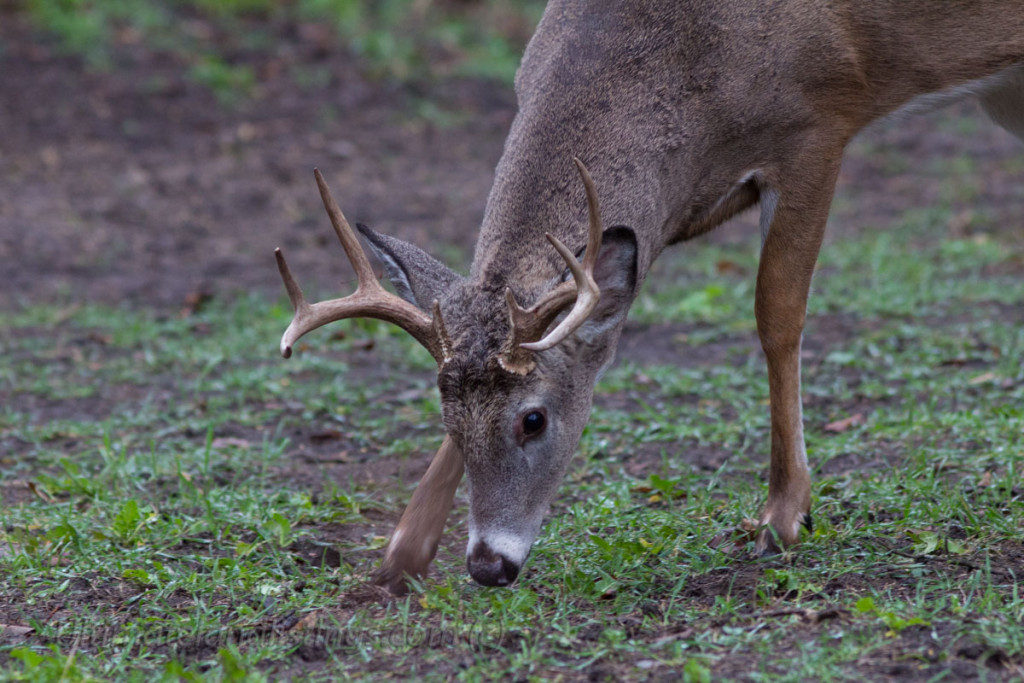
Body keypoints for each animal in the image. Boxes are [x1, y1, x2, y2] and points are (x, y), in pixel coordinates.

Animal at [275, 0, 1024, 595]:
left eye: (533, 421)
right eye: (448, 421)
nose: (489, 565)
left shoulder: (817, 124)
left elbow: (777, 313)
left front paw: (783, 516)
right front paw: (400, 555)